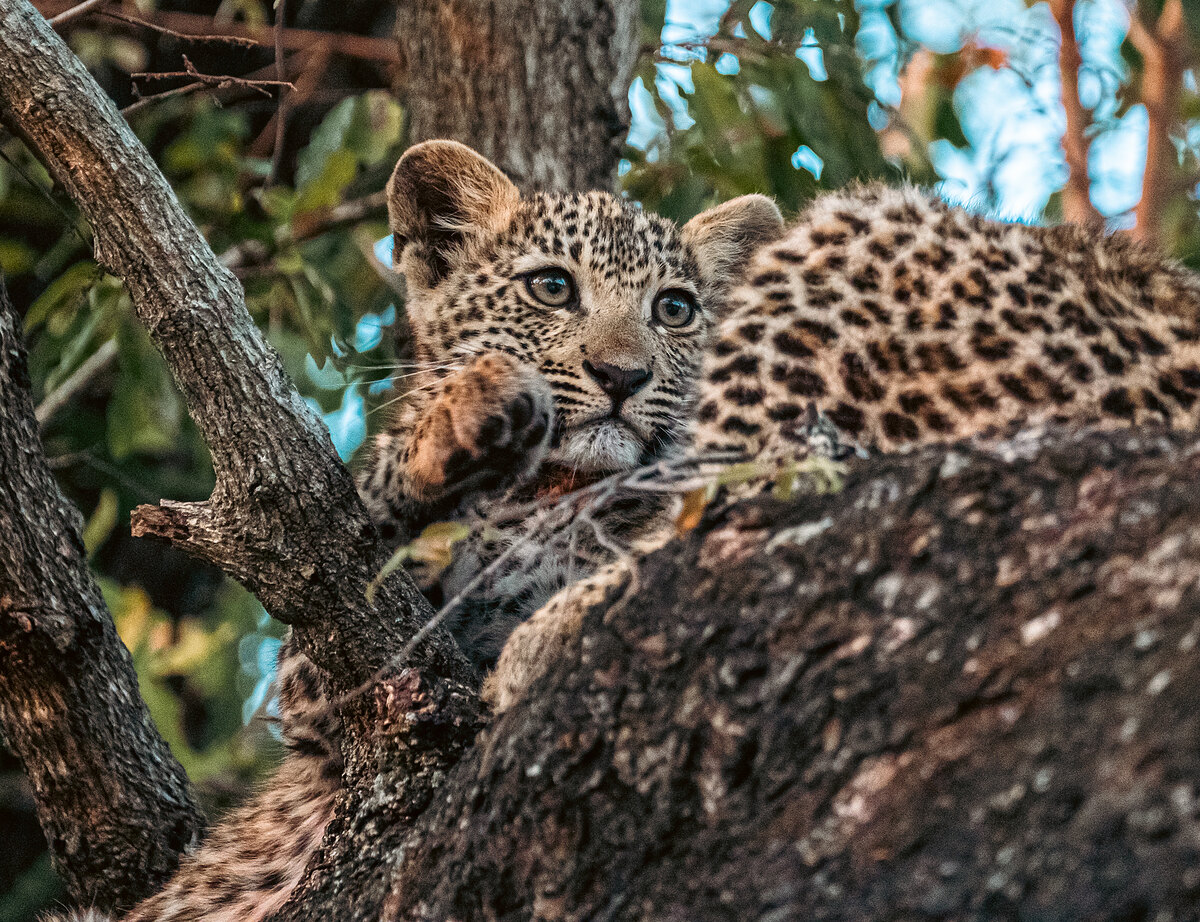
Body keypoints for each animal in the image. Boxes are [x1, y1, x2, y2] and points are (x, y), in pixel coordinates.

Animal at [49, 140, 782, 922]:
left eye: (674, 309)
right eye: (552, 288)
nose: (622, 375)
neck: (559, 489)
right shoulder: (320, 696)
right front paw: (459, 423)